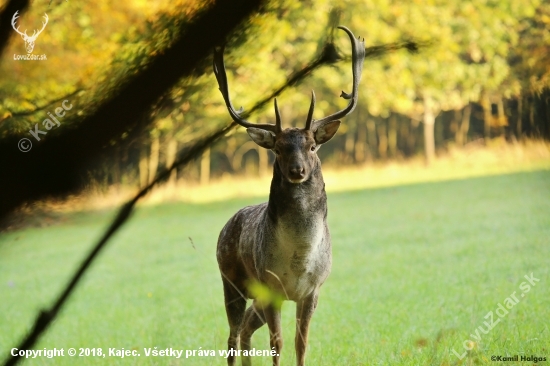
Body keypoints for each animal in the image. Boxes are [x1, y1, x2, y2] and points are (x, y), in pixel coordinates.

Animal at [216, 26, 366, 366]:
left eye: (312, 146)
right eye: (278, 149)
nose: (298, 170)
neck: (299, 257)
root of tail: (226, 224)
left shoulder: (312, 290)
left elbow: (301, 343)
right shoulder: (271, 287)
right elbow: (278, 343)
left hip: (255, 295)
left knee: (245, 330)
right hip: (231, 280)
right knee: (231, 336)